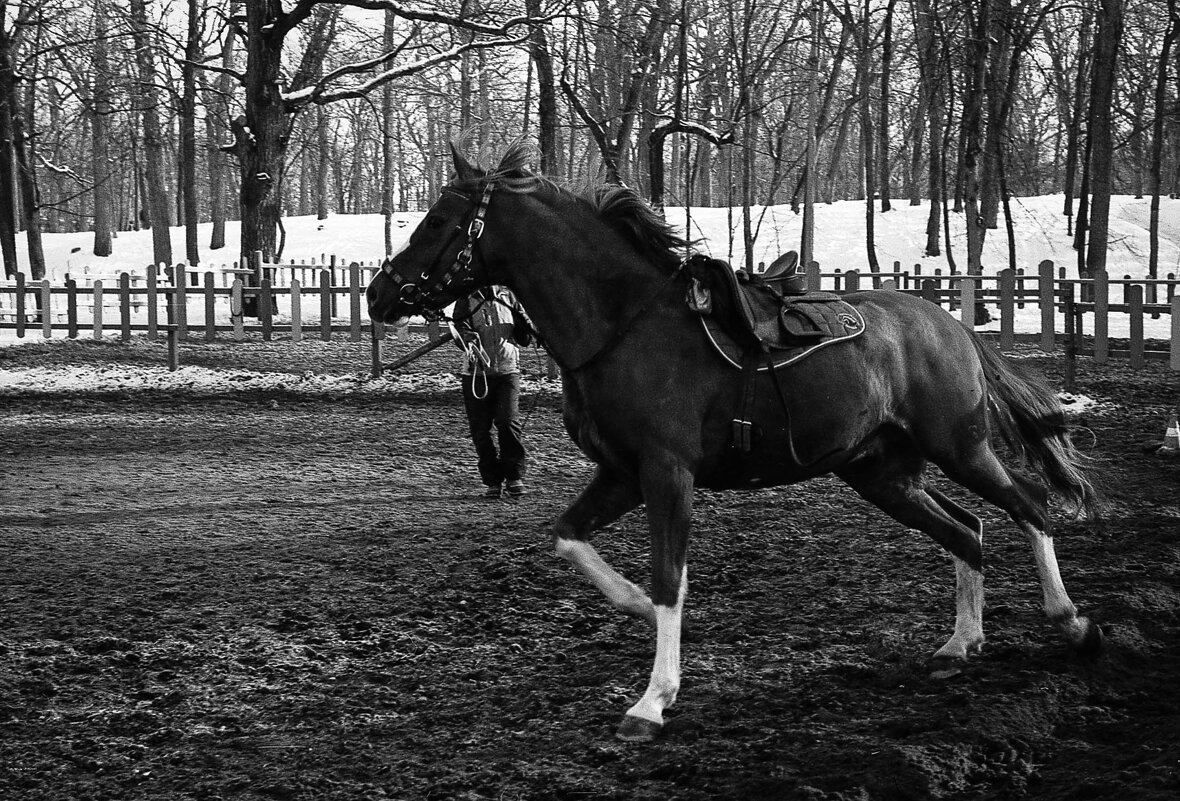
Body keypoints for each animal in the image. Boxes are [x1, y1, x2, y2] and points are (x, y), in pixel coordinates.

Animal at [363, 143, 1099, 745]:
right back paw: (960, 641)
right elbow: (572, 538)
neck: (623, 324)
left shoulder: (667, 474)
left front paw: (653, 700)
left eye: (438, 220)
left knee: (1028, 508)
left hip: (961, 448)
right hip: (884, 474)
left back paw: (1069, 620)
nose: (377, 293)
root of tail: (951, 324)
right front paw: (638, 608)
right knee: (967, 530)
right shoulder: (621, 473)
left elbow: (669, 577)